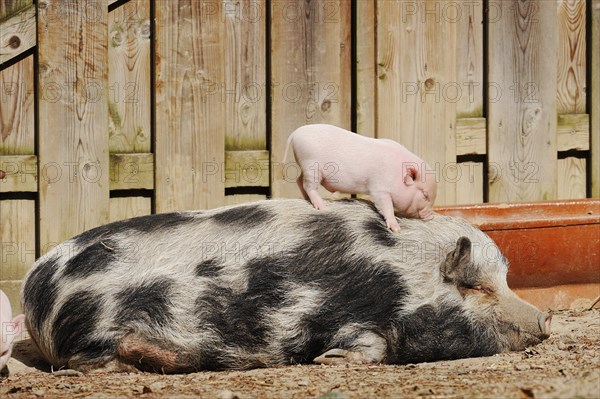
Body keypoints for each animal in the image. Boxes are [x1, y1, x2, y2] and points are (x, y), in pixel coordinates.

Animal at [19, 202, 552, 374]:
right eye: (475, 287)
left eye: (504, 280)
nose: (546, 316)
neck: (400, 278)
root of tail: (33, 286)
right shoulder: (353, 318)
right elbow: (366, 345)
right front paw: (329, 361)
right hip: (91, 335)